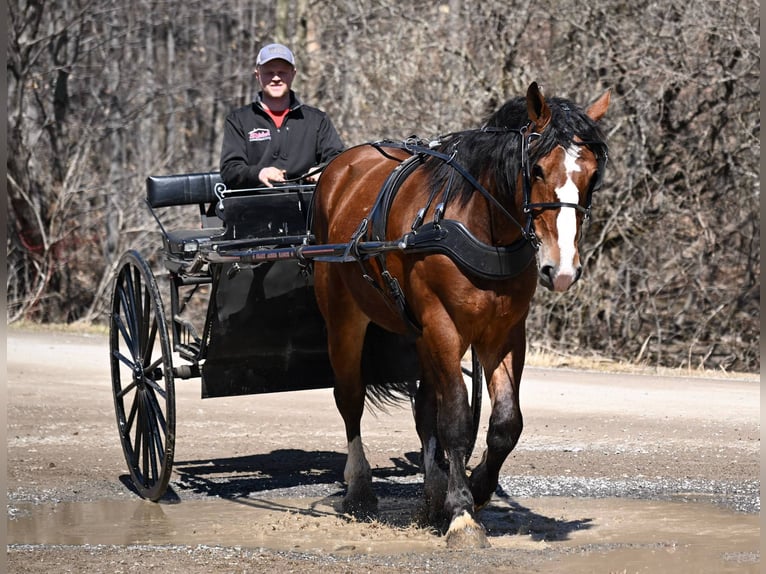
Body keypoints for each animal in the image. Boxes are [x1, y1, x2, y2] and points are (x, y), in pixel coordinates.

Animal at [312, 82, 610, 548]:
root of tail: (341, 166)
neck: (480, 226)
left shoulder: (505, 333)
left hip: (416, 334)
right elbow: (454, 419)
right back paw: (360, 488)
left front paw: (479, 487)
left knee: (423, 409)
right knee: (350, 398)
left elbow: (505, 423)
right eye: (537, 170)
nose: (561, 270)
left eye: (592, 175)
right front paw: (463, 514)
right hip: (344, 317)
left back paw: (435, 489)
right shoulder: (443, 327)